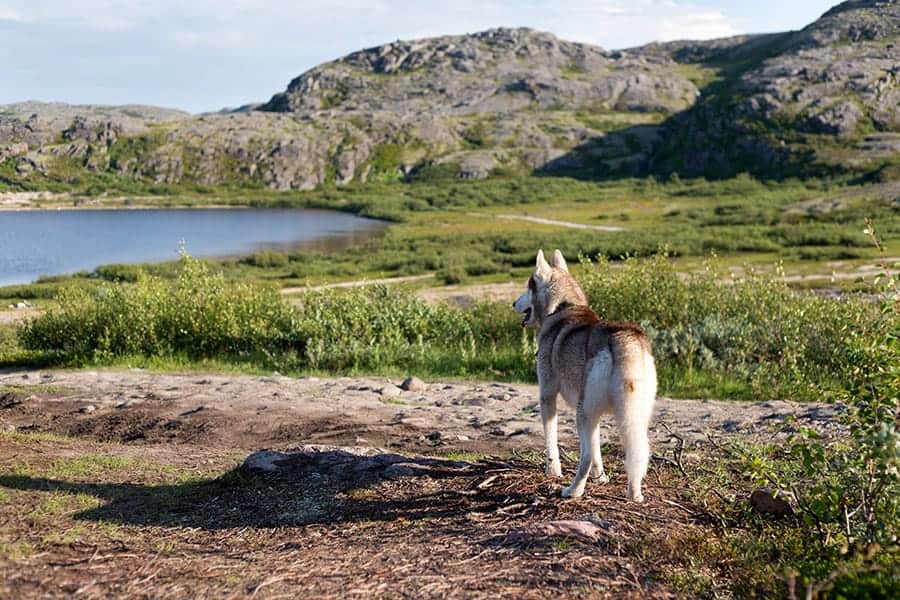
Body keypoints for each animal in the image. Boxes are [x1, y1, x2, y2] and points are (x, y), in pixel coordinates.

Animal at [512, 248, 652, 502]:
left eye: (528, 287)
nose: (513, 303)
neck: (563, 307)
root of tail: (625, 337)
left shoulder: (547, 395)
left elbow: (551, 441)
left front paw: (552, 470)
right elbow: (597, 450)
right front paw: (601, 477)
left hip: (582, 412)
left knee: (584, 457)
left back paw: (573, 490)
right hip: (632, 416)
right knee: (637, 453)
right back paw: (634, 494)